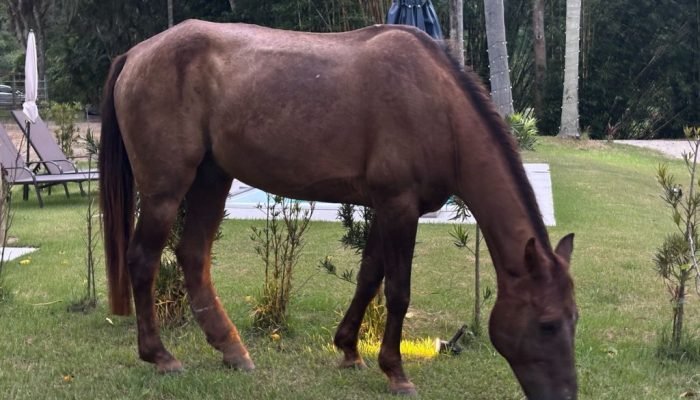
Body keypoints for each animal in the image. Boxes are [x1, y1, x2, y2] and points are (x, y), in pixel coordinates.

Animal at [99, 20, 577, 399]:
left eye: (574, 319)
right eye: (548, 324)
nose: (565, 396)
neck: (436, 104)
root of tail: (136, 54)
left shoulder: (387, 208)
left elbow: (368, 279)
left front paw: (349, 348)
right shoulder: (399, 206)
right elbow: (397, 291)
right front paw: (396, 371)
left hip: (211, 179)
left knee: (193, 256)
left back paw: (232, 351)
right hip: (166, 189)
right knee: (143, 260)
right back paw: (161, 356)